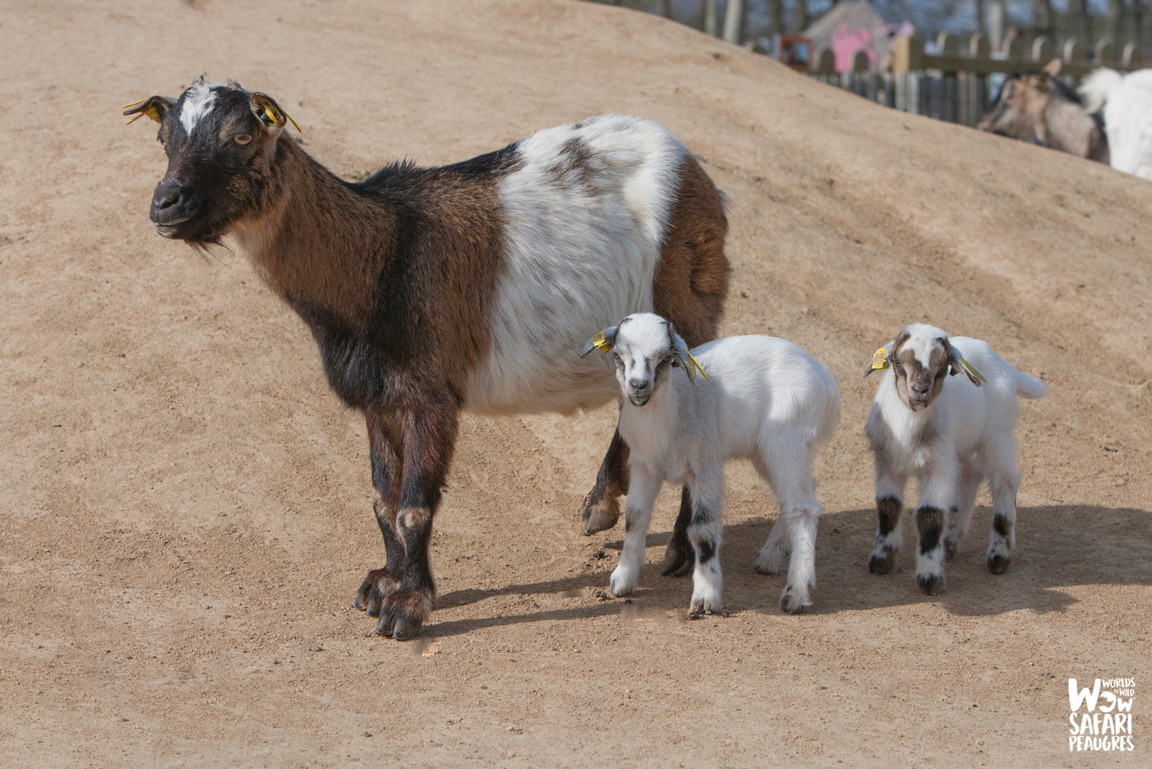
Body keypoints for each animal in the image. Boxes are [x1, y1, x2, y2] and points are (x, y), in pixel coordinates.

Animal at [123, 81, 728, 640]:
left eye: (242, 137)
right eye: (163, 138)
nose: (165, 204)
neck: (384, 255)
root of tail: (695, 171)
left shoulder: (431, 396)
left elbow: (413, 507)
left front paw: (407, 606)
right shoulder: (378, 399)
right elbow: (381, 499)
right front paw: (382, 583)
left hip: (688, 316)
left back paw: (677, 549)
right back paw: (601, 506)